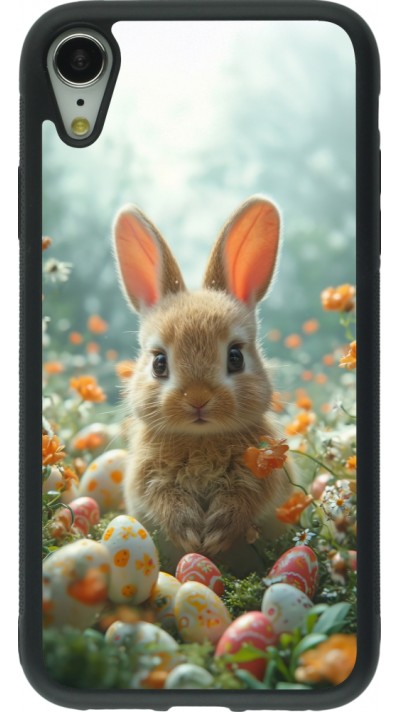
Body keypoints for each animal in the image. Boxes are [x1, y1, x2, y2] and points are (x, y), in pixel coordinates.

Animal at [113, 196, 292, 574]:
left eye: (235, 357)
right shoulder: (147, 478)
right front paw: (191, 535)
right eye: (159, 363)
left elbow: (244, 499)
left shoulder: (263, 474)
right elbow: (163, 500)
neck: (200, 439)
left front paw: (216, 535)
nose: (197, 399)